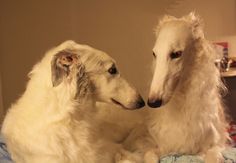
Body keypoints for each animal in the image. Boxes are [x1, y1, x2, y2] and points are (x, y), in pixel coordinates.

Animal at [117, 12, 230, 163]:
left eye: (176, 54)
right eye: (154, 53)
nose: (152, 103)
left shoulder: (217, 143)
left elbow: (214, 155)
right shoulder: (160, 145)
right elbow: (148, 154)